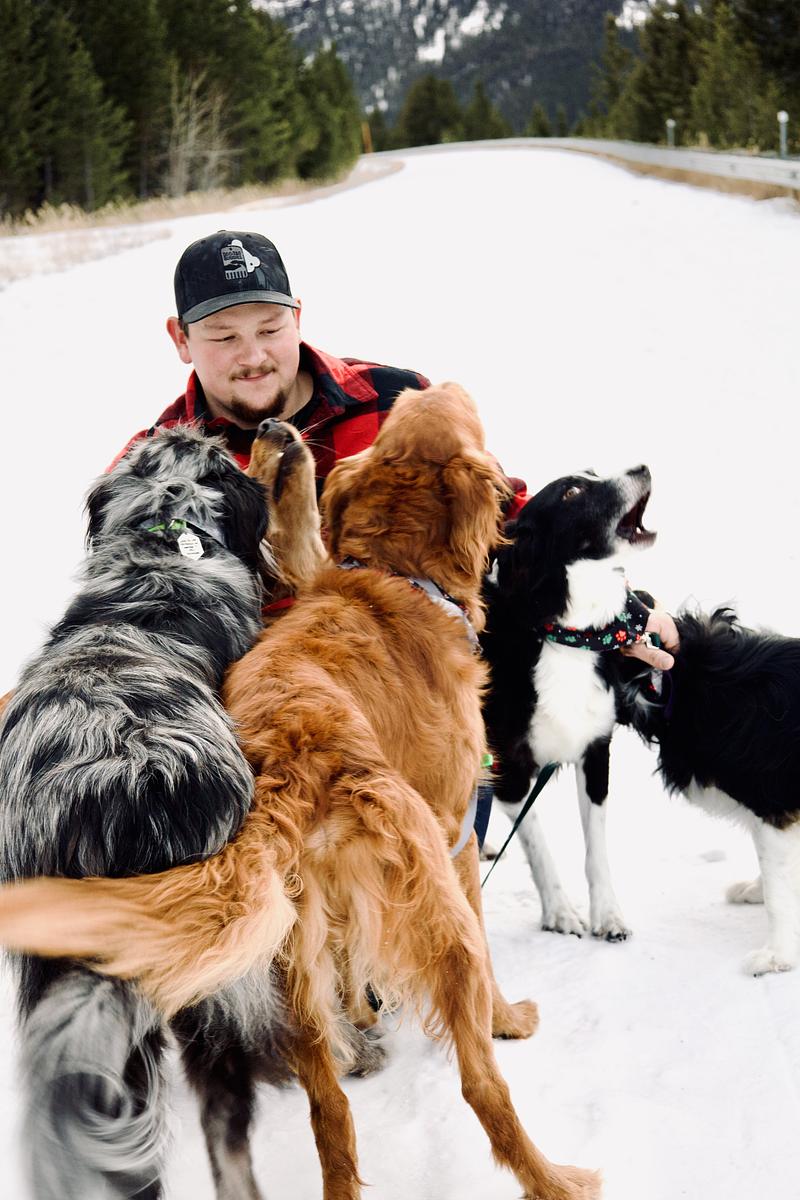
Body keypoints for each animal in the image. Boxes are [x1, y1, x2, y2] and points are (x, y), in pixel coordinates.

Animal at [481, 465, 655, 941]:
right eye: (572, 492)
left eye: (593, 473)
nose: (642, 468)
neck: (567, 634)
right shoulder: (508, 770)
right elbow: (538, 846)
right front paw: (559, 912)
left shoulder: (595, 749)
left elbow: (596, 848)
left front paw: (608, 915)